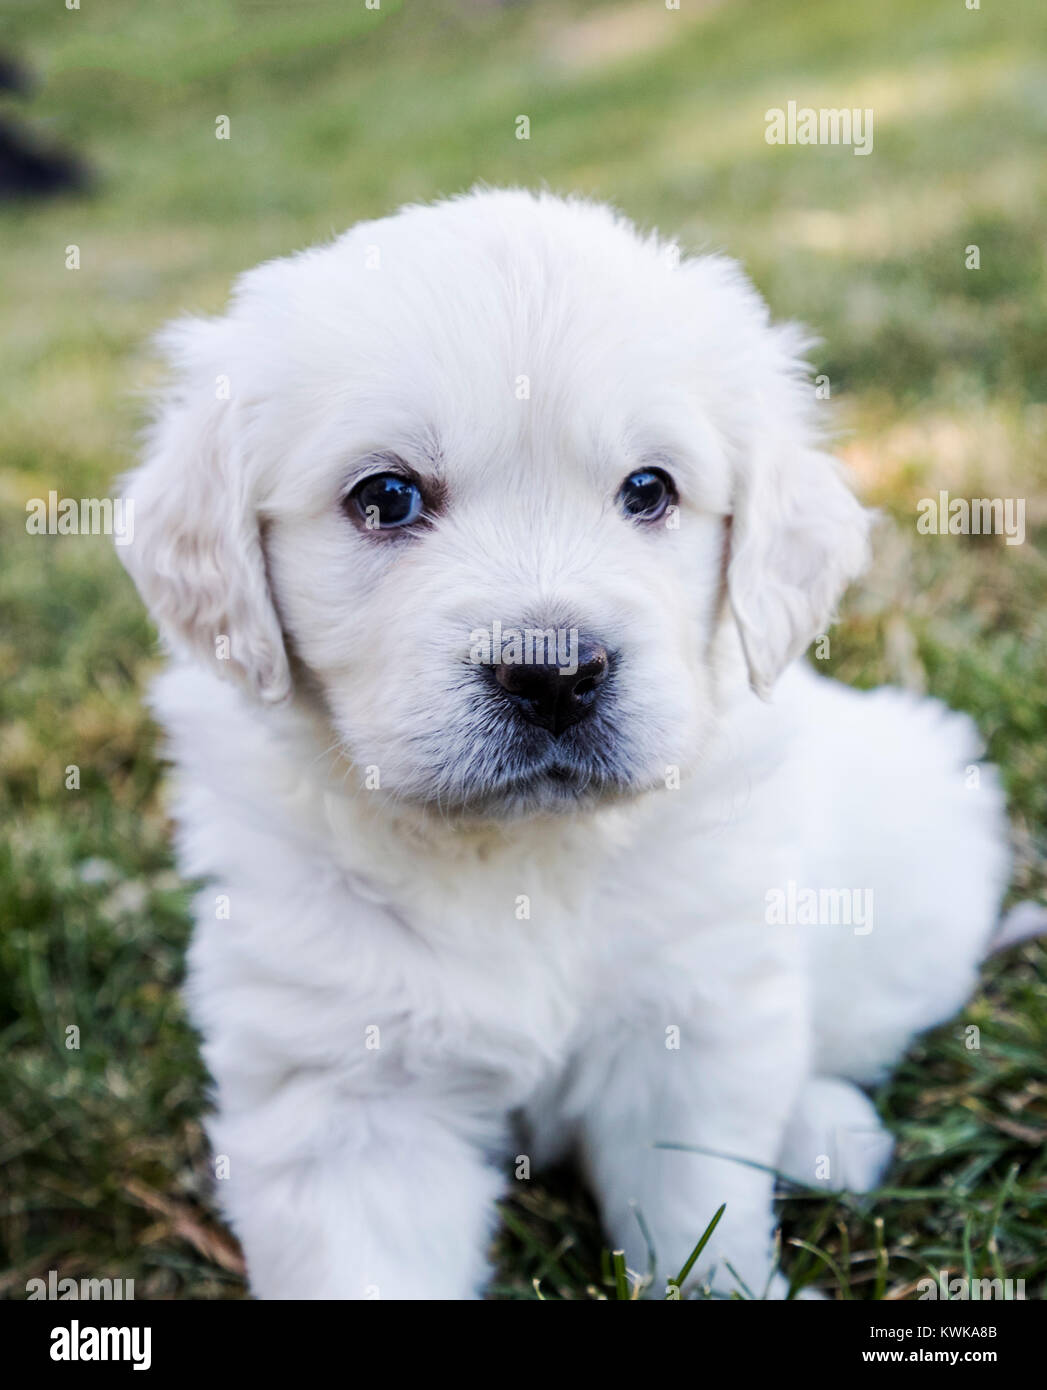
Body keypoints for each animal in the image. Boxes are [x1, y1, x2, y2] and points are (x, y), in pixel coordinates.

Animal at [118, 190, 1006, 1295]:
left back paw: (825, 1128)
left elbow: (696, 1204)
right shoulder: (346, 1096)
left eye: (648, 489)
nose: (552, 676)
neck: (518, 860)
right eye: (386, 497)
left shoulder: (688, 1024)